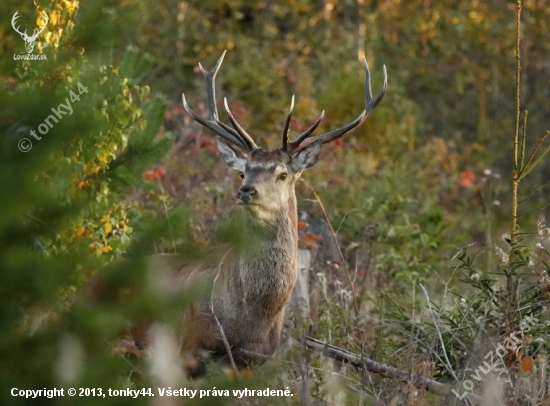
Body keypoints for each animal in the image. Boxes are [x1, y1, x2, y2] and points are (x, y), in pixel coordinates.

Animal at [86, 50, 388, 374]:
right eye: (244, 172)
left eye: (283, 174)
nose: (246, 191)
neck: (255, 317)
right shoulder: (189, 348)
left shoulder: (255, 361)